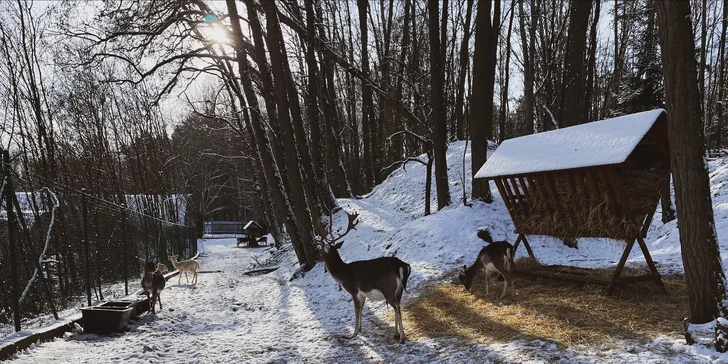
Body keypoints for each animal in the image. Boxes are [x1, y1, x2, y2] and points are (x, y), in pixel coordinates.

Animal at [318, 212, 412, 342]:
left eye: (320, 251)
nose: (317, 258)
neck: (342, 274)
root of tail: (402, 265)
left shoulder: (354, 290)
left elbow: (356, 310)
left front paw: (352, 334)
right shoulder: (363, 294)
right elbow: (361, 309)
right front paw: (360, 329)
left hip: (388, 290)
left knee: (397, 309)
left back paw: (402, 337)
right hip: (399, 290)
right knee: (398, 306)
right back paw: (395, 334)